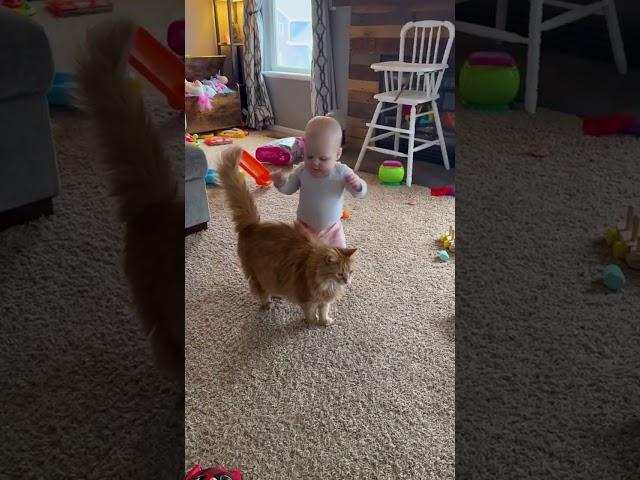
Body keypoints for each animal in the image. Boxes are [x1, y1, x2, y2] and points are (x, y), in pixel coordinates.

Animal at [219, 147, 358, 326]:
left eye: (351, 272)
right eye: (339, 274)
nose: (347, 281)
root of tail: (253, 225)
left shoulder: (324, 301)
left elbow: (324, 311)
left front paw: (324, 321)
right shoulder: (306, 298)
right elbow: (310, 313)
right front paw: (310, 323)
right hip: (257, 274)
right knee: (261, 292)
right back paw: (267, 304)